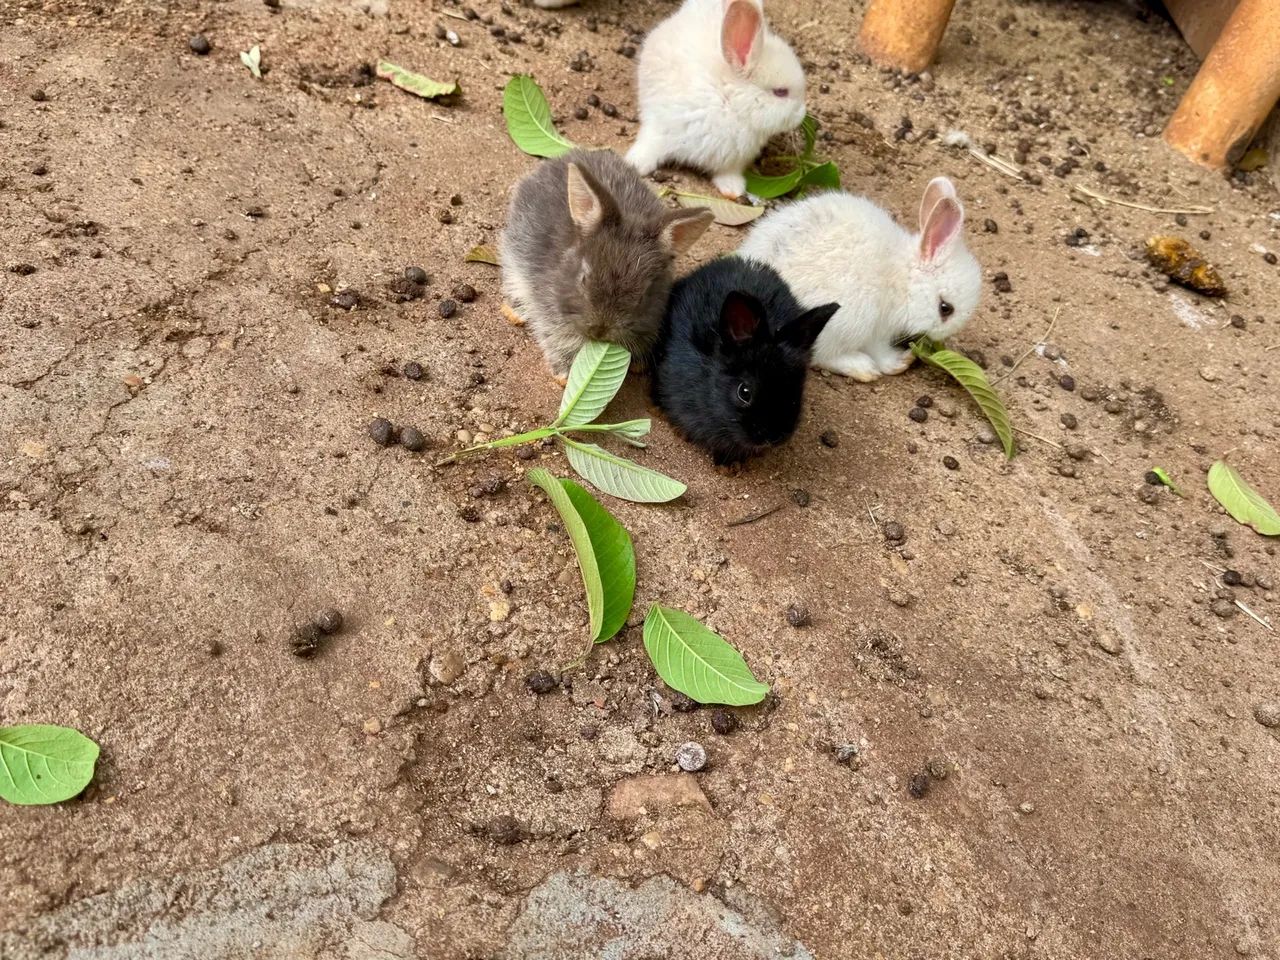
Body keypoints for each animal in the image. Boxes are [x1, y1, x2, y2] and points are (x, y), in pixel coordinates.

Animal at [501, 148, 714, 378]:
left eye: (642, 296)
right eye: (584, 279)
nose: (599, 330)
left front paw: (638, 365)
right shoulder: (550, 314)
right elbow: (557, 338)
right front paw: (564, 375)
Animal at [626, 0, 806, 200]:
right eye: (780, 92)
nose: (802, 114)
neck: (730, 103)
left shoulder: (732, 161)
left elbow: (728, 174)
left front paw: (733, 190)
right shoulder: (661, 128)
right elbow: (650, 146)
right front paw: (635, 164)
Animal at [735, 177, 982, 382]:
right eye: (945, 308)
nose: (945, 336)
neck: (905, 280)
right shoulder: (879, 327)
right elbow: (881, 352)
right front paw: (901, 362)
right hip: (847, 320)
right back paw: (863, 368)